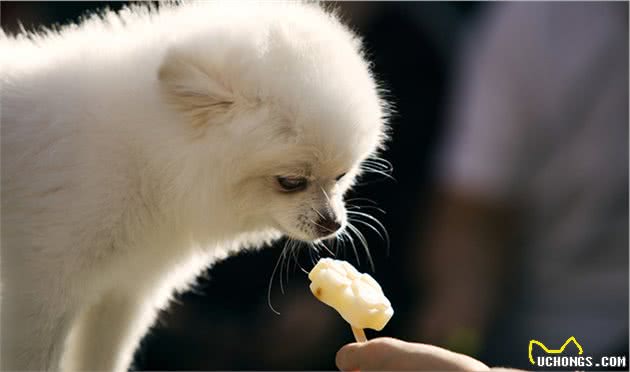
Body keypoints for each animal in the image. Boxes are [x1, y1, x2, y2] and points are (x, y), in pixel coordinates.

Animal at [0, 1, 390, 370]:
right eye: (290, 182)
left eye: (340, 177)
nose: (333, 223)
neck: (144, 159)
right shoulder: (44, 289)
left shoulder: (122, 291)